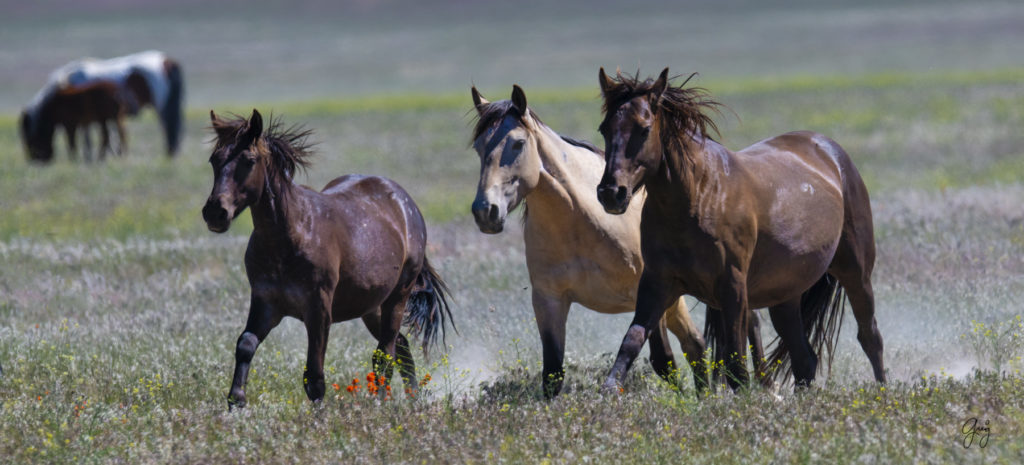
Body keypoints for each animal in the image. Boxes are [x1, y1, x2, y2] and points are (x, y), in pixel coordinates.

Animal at [21, 48, 186, 157]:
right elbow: (107, 135)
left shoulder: (84, 117)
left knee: (167, 126)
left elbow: (88, 136)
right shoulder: (97, 117)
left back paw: (169, 152)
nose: (36, 160)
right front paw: (111, 154)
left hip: (161, 106)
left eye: (29, 136)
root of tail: (166, 61)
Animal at [203, 109, 452, 407]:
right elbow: (245, 345)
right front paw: (236, 400)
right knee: (400, 348)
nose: (215, 213)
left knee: (386, 354)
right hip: (372, 306)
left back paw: (381, 403)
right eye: (214, 159)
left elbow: (314, 376)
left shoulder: (319, 310)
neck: (291, 235)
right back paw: (414, 400)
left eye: (249, 161)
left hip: (397, 297)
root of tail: (406, 204)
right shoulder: (265, 303)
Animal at [468, 84, 765, 395]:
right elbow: (552, 373)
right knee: (698, 341)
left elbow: (663, 360)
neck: (580, 223)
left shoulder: (647, 291)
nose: (485, 211)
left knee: (735, 327)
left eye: (517, 144)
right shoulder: (548, 300)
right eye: (479, 147)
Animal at [598, 67, 884, 391]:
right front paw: (608, 391)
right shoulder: (657, 283)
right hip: (785, 297)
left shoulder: (732, 286)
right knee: (805, 359)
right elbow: (632, 341)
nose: (611, 193)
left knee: (870, 337)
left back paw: (883, 392)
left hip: (855, 273)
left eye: (644, 129)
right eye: (604, 129)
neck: (700, 196)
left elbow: (736, 360)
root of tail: (830, 151)